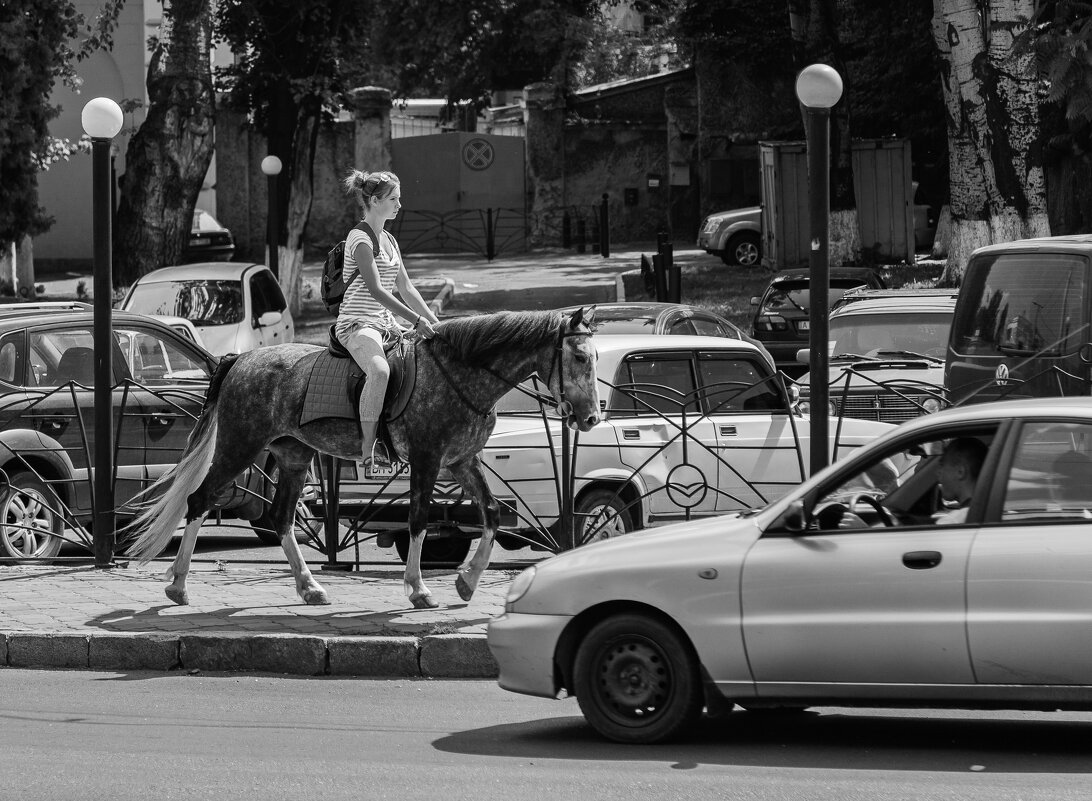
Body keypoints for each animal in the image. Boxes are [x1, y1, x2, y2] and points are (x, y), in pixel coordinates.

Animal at [125, 307, 602, 606]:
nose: (593, 417)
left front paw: (466, 582)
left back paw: (310, 587)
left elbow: (491, 513)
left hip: (293, 458)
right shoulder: (428, 460)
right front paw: (418, 589)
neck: (459, 372)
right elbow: (419, 520)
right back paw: (179, 586)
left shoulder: (461, 462)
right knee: (199, 501)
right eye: (580, 355)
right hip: (238, 448)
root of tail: (240, 359)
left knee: (281, 518)